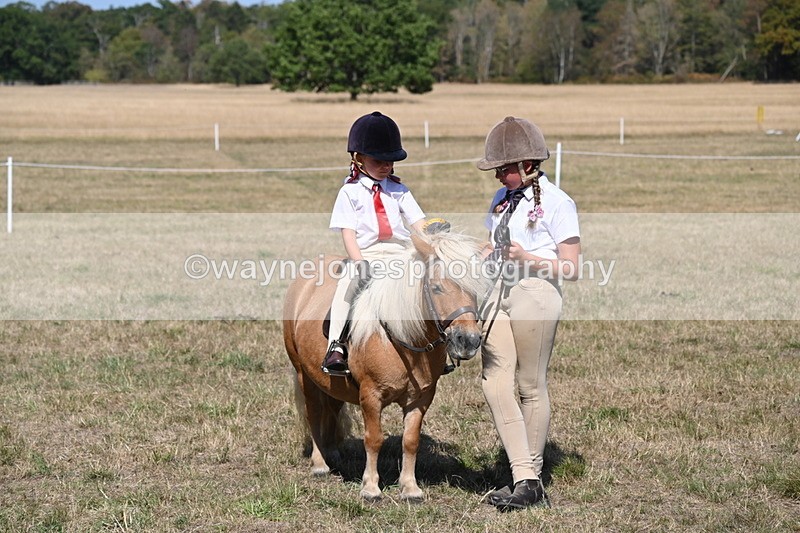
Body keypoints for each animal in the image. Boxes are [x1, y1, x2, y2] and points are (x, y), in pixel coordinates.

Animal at [283, 231, 488, 500]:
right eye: (436, 288)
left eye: (475, 291)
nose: (469, 341)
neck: (403, 340)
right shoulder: (371, 395)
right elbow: (374, 439)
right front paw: (370, 487)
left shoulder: (421, 398)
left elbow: (410, 441)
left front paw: (410, 488)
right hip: (303, 373)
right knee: (314, 412)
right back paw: (320, 464)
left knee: (333, 407)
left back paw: (333, 452)